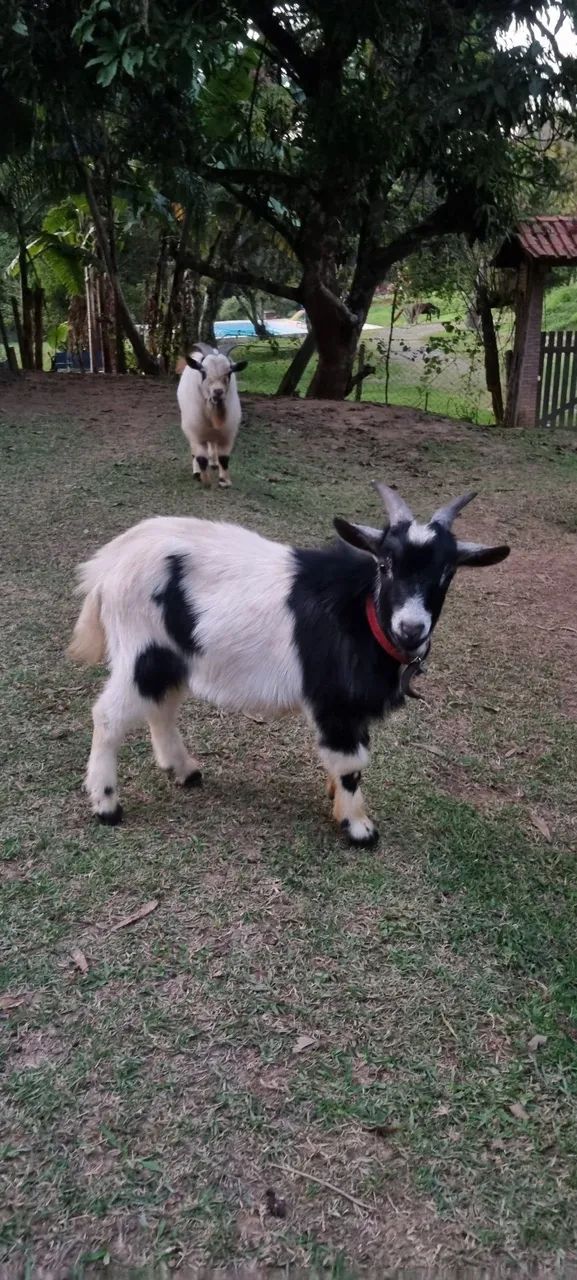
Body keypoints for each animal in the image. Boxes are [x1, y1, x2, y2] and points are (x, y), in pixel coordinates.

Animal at [68, 483, 509, 846]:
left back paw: (184, 771)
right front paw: (358, 826)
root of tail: (108, 563)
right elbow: (351, 762)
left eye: (447, 572)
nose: (411, 627)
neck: (363, 614)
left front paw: (335, 798)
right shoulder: (336, 703)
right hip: (143, 651)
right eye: (384, 564)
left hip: (173, 657)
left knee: (160, 707)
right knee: (108, 716)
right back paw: (107, 805)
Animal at [176, 342, 247, 488]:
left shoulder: (228, 434)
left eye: (229, 372)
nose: (218, 392)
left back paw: (214, 463)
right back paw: (197, 472)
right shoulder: (195, 434)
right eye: (203, 371)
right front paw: (205, 481)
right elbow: (201, 458)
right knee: (195, 453)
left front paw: (224, 481)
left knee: (213, 444)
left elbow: (224, 458)